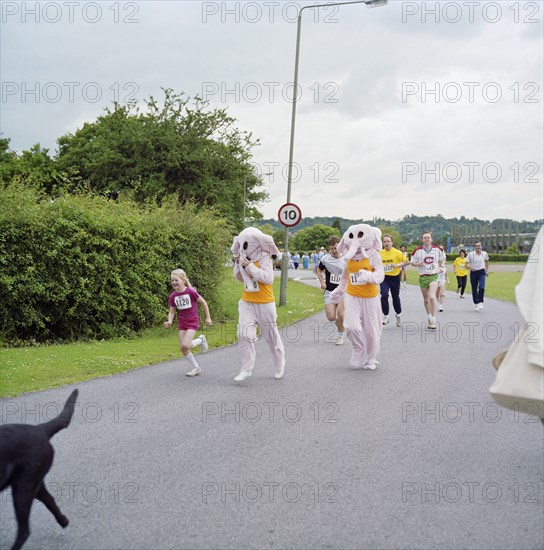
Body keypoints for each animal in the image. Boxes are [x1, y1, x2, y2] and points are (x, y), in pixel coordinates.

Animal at [0, 390, 78, 548]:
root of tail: (39, 429)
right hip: (32, 481)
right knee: (50, 500)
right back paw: (64, 521)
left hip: (23, 487)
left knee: (24, 531)